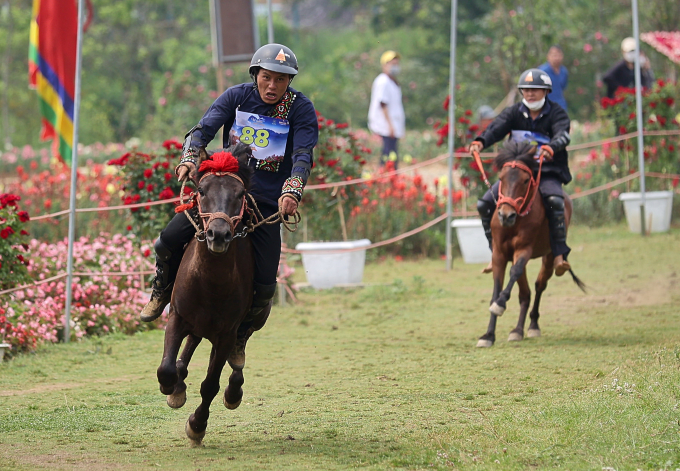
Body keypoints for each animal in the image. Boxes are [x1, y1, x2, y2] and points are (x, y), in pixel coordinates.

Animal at [155, 144, 258, 446]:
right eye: (201, 190)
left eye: (240, 194)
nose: (218, 234)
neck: (210, 284)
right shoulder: (177, 317)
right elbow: (166, 368)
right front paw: (172, 386)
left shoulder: (226, 335)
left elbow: (211, 385)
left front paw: (197, 426)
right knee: (189, 345)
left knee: (236, 359)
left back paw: (233, 389)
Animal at [478, 142, 584, 348]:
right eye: (501, 178)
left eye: (526, 180)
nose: (506, 215)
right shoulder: (499, 254)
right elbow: (497, 287)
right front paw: (488, 335)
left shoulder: (524, 250)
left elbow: (515, 275)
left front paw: (500, 305)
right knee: (525, 293)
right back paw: (518, 330)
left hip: (549, 255)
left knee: (539, 286)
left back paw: (532, 325)